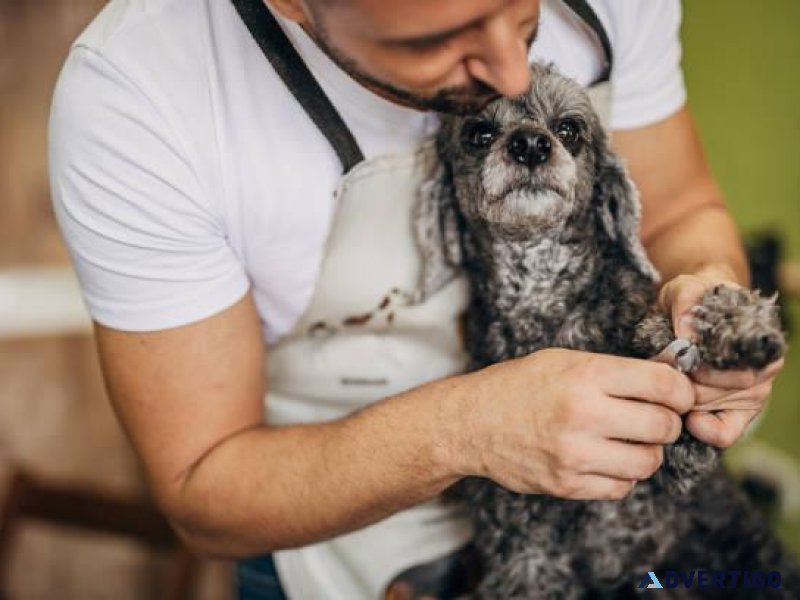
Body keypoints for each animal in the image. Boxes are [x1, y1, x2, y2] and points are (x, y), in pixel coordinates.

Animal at [416, 63, 796, 596]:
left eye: (569, 129)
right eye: (480, 133)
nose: (530, 144)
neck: (544, 293)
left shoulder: (685, 466)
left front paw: (736, 328)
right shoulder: (524, 553)